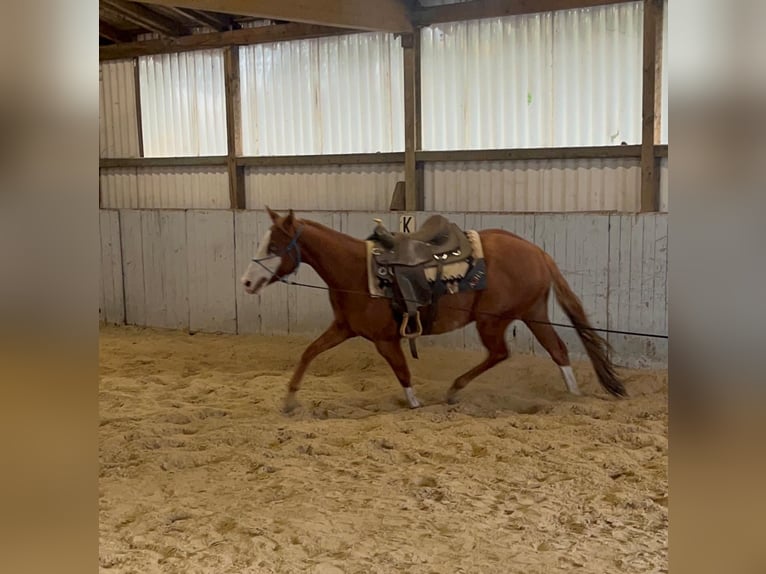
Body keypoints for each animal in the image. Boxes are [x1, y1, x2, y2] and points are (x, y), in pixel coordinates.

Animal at [240, 208, 626, 413]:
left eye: (273, 246)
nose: (246, 282)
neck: (356, 271)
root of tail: (538, 252)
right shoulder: (343, 328)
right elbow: (309, 352)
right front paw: (289, 399)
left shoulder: (385, 340)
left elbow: (402, 372)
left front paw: (414, 405)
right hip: (532, 312)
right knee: (557, 350)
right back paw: (573, 398)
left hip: (493, 320)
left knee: (501, 353)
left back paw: (455, 389)